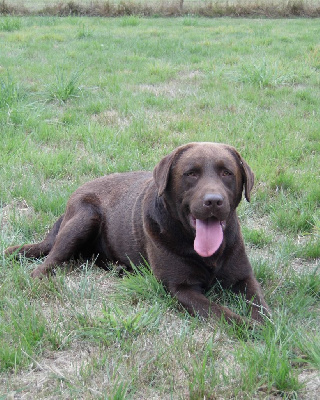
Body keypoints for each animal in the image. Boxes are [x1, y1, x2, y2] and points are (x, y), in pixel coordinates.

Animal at [5, 142, 270, 324]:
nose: (213, 201)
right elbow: (222, 313)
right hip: (85, 217)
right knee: (49, 261)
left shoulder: (244, 277)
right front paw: (248, 326)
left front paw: (265, 324)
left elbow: (262, 306)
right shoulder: (181, 288)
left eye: (227, 173)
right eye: (191, 173)